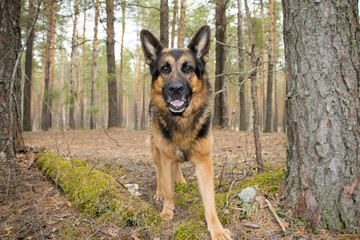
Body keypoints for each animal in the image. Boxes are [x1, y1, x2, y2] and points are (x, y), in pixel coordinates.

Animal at [140, 25, 231, 239]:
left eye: (188, 68)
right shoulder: (166, 157)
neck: (181, 120)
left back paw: (179, 178)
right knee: (159, 173)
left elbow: (209, 200)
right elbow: (169, 188)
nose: (175, 89)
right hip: (155, 149)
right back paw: (159, 191)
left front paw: (216, 228)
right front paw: (167, 210)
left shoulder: (204, 163)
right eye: (164, 69)